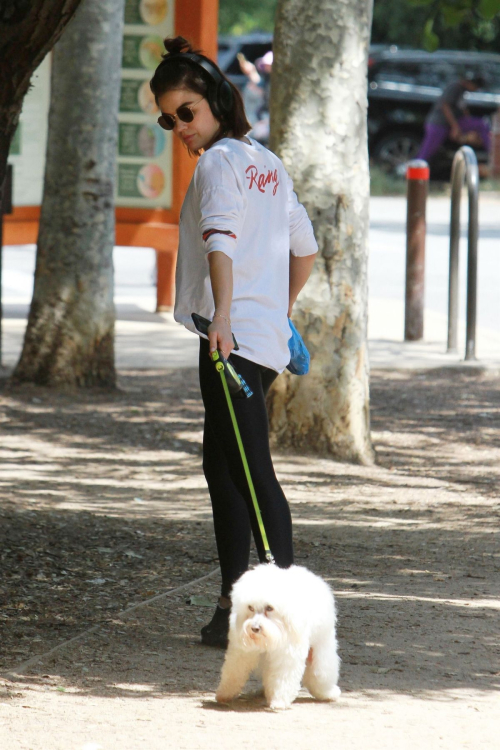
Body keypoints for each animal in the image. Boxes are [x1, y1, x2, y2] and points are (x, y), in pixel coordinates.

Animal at [215, 568, 340, 712]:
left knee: (322, 671)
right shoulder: (242, 652)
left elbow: (283, 680)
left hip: (322, 645)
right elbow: (234, 671)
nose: (255, 628)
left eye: (269, 608)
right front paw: (224, 693)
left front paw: (279, 701)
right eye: (250, 607)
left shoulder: (286, 656)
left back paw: (328, 692)